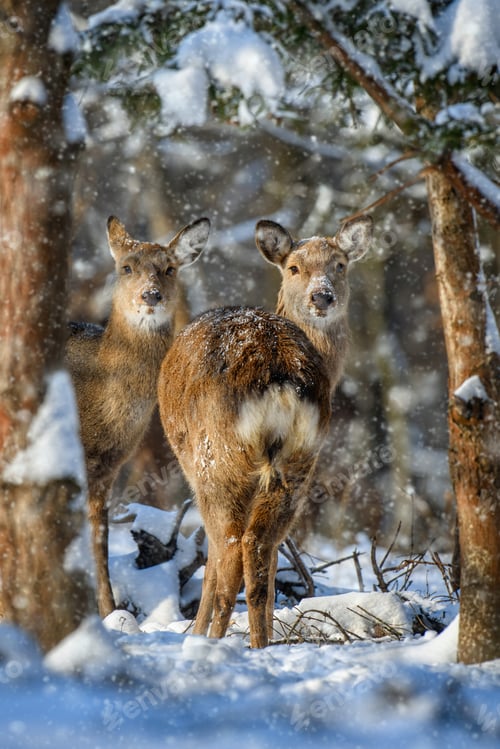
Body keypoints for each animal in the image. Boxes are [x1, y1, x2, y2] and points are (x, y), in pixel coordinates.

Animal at [66, 215, 210, 618]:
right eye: (126, 267)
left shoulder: (105, 467)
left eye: (169, 268)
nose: (151, 295)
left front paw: (110, 612)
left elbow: (99, 541)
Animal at [158, 215, 372, 647]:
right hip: (299, 463)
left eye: (340, 265)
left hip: (218, 460)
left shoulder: (195, 472)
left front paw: (197, 629)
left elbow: (210, 563)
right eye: (294, 268)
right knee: (260, 552)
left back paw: (212, 641)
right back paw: (261, 643)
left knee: (230, 554)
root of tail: (279, 376)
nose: (322, 296)